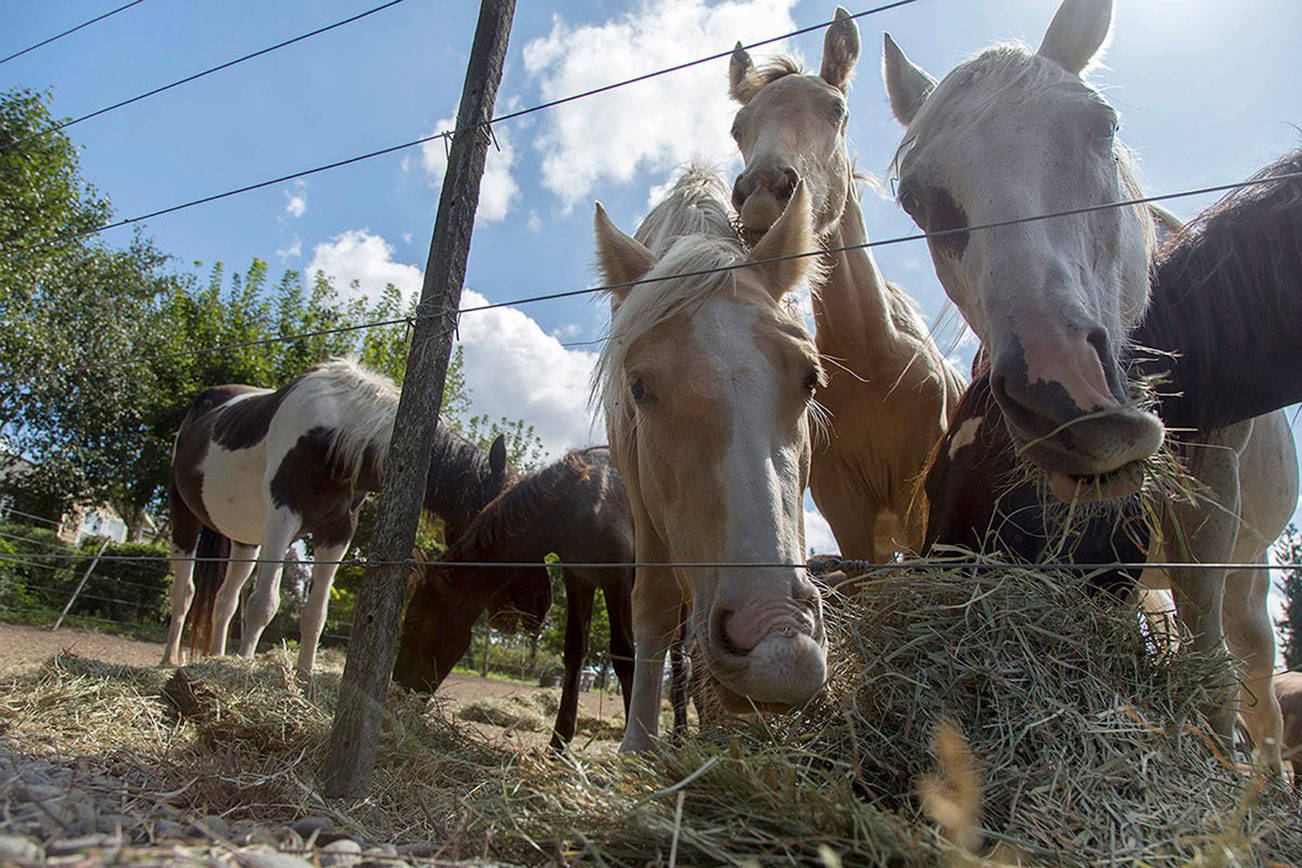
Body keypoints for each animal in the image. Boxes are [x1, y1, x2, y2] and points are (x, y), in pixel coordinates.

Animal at [163, 357, 514, 676]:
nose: (506, 611)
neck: (335, 433)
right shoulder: (281, 516)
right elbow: (264, 604)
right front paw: (246, 669)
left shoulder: (337, 532)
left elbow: (316, 614)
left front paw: (304, 676)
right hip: (184, 514)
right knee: (184, 593)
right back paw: (169, 659)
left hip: (245, 539)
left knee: (224, 601)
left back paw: (215, 659)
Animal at [394, 446, 635, 751]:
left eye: (412, 623)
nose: (398, 692)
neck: (590, 498)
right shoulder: (579, 579)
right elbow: (575, 651)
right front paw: (558, 746)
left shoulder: (618, 580)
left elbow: (624, 655)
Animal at [592, 165, 827, 751]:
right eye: (638, 387)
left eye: (810, 378)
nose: (776, 636)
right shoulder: (638, 490)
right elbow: (653, 606)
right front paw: (638, 744)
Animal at [727, 8, 965, 562]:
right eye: (738, 128)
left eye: (836, 109)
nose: (764, 192)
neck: (872, 359)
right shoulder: (846, 510)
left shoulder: (918, 498)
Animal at [885, 0, 1302, 765]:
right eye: (916, 199)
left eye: (1102, 126)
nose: (1065, 395)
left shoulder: (1211, 504)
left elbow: (1214, 682)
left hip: (1250, 576)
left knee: (1259, 691)